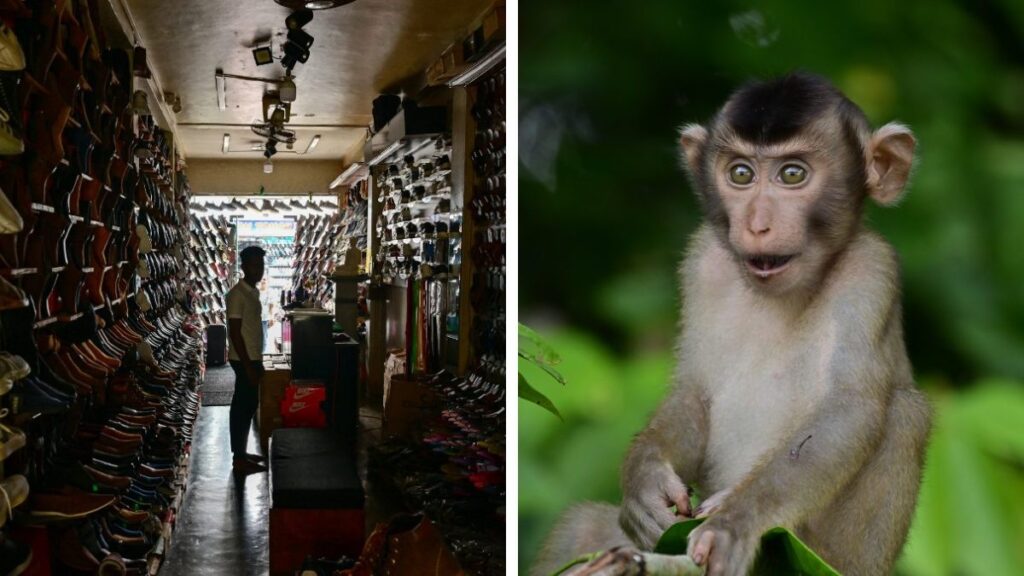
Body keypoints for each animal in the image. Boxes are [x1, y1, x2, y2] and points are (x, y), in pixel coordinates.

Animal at [531, 73, 931, 576]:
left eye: (793, 174)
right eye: (740, 174)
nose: (757, 224)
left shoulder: (871, 270)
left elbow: (850, 406)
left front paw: (734, 521)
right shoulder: (703, 261)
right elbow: (694, 390)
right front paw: (644, 480)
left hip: (837, 559)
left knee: (904, 413)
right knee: (583, 526)